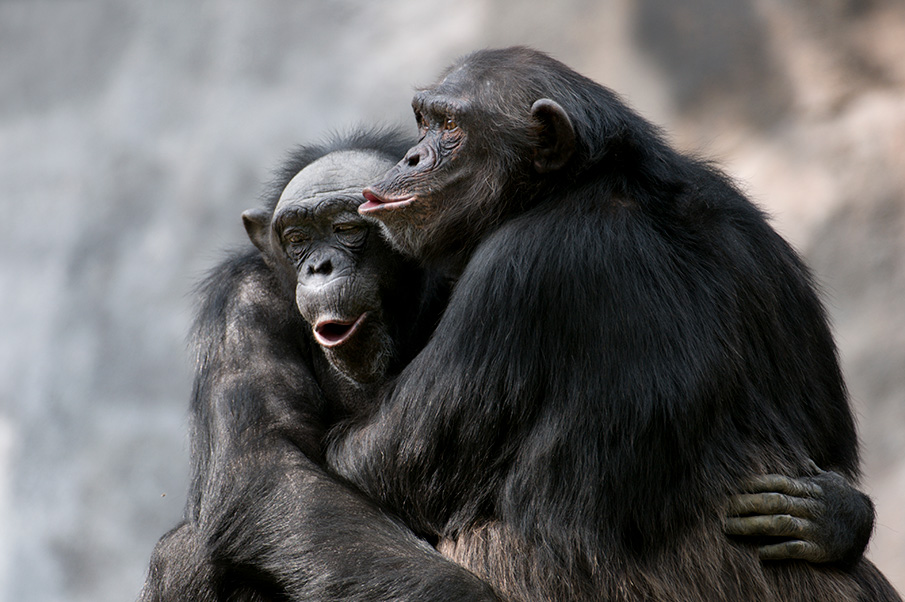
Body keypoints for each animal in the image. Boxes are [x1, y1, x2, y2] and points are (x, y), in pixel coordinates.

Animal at [324, 48, 896, 600]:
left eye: (450, 127)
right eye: (423, 121)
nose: (412, 156)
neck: (586, 183)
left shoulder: (515, 272)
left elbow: (372, 460)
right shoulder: (759, 242)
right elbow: (831, 449)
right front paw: (840, 513)